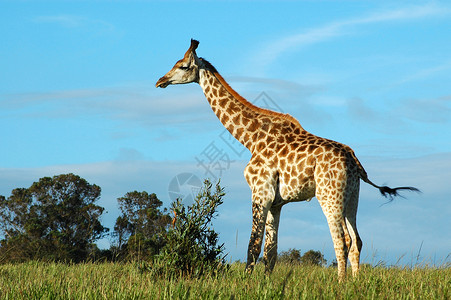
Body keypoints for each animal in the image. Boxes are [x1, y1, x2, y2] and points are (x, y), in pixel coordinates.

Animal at [156, 39, 420, 282]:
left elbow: (253, 245)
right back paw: (355, 283)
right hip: (352, 197)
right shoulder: (277, 202)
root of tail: (355, 163)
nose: (160, 81)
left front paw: (246, 283)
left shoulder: (260, 192)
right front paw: (266, 284)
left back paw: (341, 284)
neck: (250, 139)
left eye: (182, 66)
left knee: (342, 239)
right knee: (357, 240)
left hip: (329, 195)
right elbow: (270, 251)